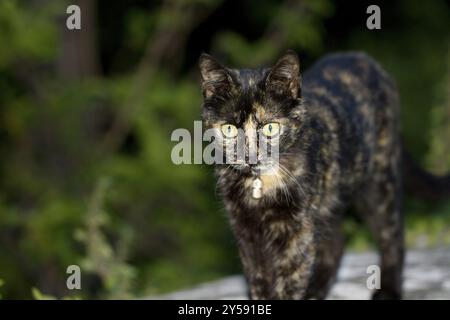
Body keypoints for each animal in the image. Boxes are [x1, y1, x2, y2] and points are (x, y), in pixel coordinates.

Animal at [199, 50, 448, 300]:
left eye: (270, 127)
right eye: (229, 129)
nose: (250, 156)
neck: (260, 184)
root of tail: (366, 59)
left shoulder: (298, 231)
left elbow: (290, 280)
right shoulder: (247, 232)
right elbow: (259, 281)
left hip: (378, 182)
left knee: (392, 235)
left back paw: (388, 290)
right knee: (336, 242)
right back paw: (315, 290)